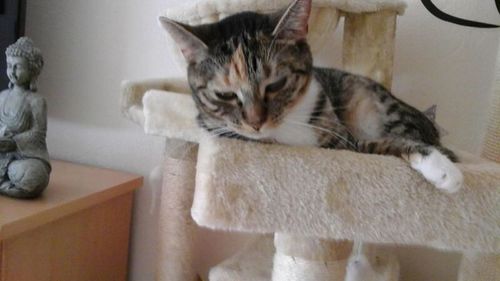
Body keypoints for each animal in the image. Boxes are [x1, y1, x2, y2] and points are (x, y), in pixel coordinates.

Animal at [158, 0, 462, 192]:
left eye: (276, 84)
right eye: (224, 95)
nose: (256, 123)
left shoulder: (343, 139)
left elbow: (381, 144)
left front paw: (440, 167)